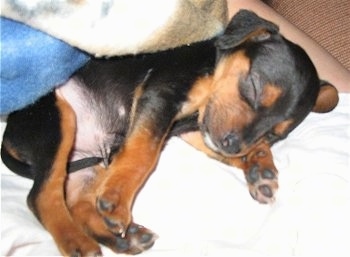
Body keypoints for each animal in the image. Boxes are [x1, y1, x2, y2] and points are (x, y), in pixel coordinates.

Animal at [0, 9, 340, 254]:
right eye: (253, 88)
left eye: (274, 135)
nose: (231, 144)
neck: (213, 63)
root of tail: (11, 134)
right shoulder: (162, 95)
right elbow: (144, 154)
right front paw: (118, 199)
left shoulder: (194, 126)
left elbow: (215, 146)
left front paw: (260, 166)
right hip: (59, 122)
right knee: (41, 196)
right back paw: (78, 241)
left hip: (90, 160)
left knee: (77, 202)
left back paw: (123, 238)